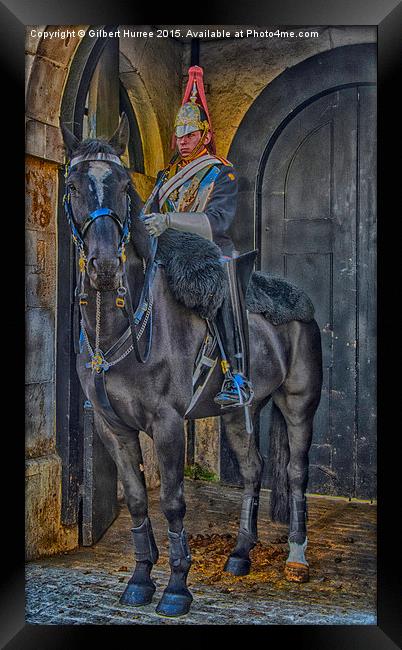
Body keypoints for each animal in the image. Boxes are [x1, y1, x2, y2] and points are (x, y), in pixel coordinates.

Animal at [60, 114, 324, 616]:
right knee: (253, 470)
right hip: (241, 411)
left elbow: (173, 503)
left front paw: (177, 587)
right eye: (73, 184)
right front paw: (140, 578)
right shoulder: (111, 425)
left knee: (296, 472)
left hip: (299, 403)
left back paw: (296, 558)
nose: (104, 268)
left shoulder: (167, 424)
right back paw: (240, 553)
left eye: (122, 184)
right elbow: (138, 500)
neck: (123, 324)